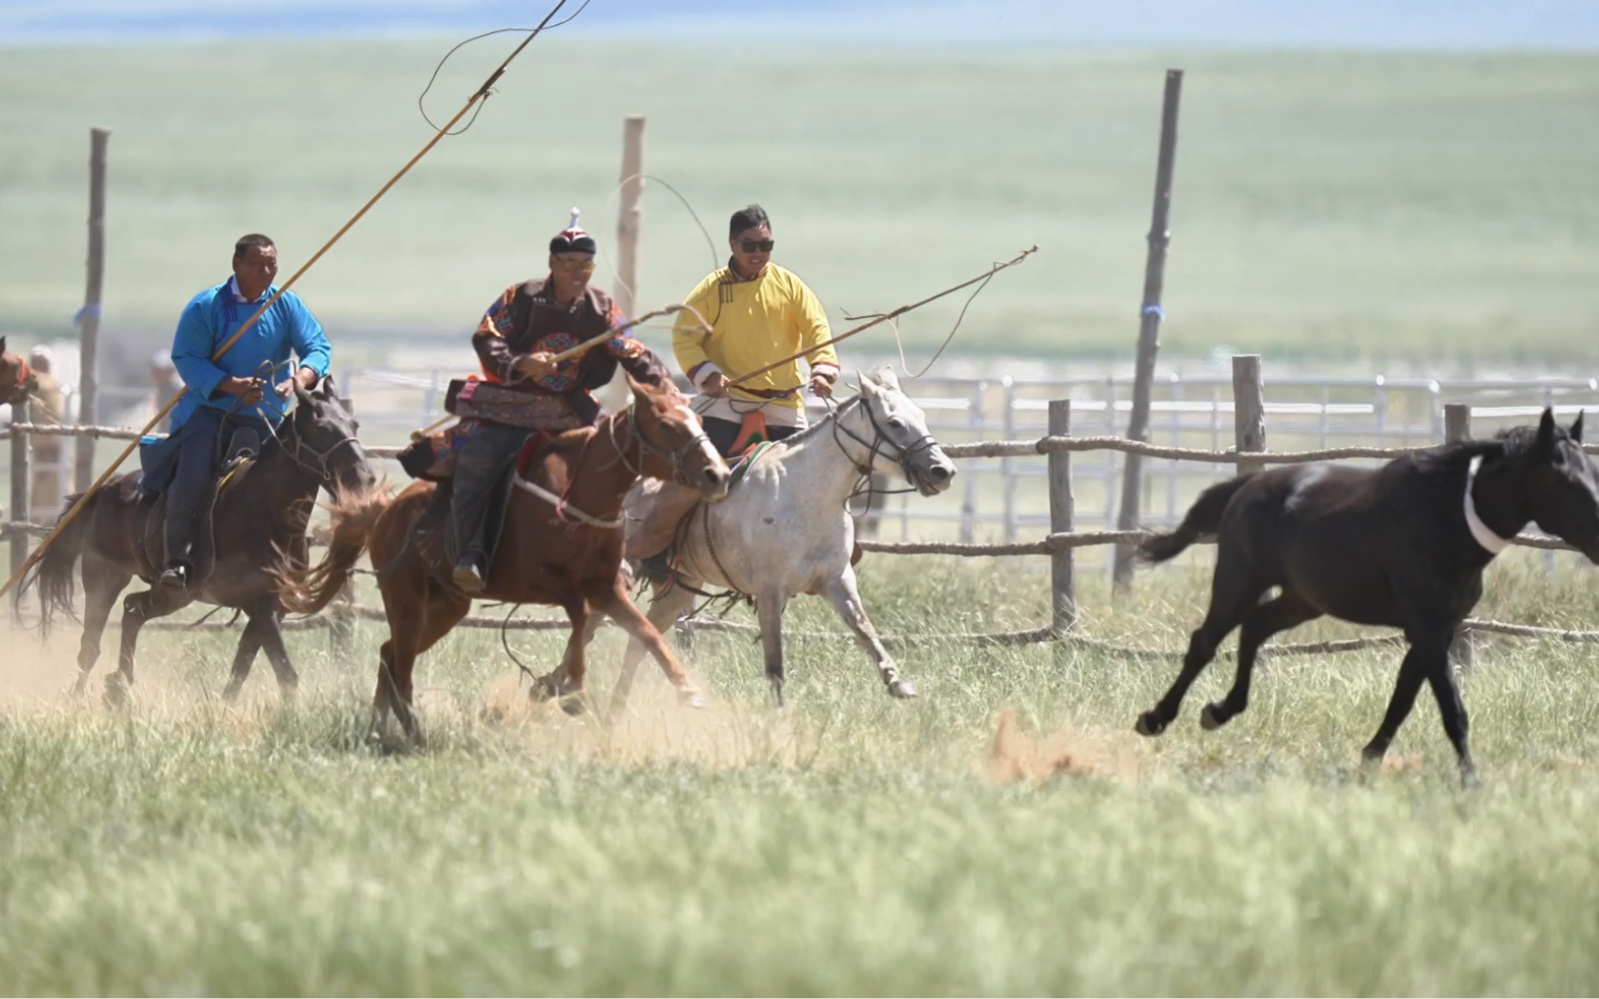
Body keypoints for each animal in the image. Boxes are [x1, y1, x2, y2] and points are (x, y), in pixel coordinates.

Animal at [17, 377, 374, 706]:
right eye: (322, 428)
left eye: (354, 424)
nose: (363, 477)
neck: (264, 509)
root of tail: (105, 488)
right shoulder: (259, 603)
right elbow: (285, 671)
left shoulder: (272, 607)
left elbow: (242, 666)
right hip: (103, 578)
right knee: (90, 644)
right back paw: (79, 698)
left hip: (175, 594)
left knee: (133, 611)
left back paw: (119, 686)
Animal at [284, 375, 732, 741]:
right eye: (667, 425)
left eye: (698, 420)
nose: (718, 475)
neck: (579, 496)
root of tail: (385, 511)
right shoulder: (541, 582)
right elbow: (581, 617)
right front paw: (570, 691)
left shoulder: (605, 587)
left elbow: (645, 632)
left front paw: (688, 690)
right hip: (406, 600)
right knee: (401, 663)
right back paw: (412, 731)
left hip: (445, 608)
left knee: (387, 654)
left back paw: (382, 728)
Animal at [607, 366, 959, 709]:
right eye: (894, 422)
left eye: (921, 415)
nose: (943, 471)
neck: (806, 495)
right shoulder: (769, 590)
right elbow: (774, 663)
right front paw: (779, 714)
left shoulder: (836, 578)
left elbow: (864, 628)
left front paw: (897, 681)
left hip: (677, 591)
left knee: (640, 642)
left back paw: (618, 708)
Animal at [1138, 409, 1599, 783]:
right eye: (1562, 478)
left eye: (1591, 471)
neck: (1447, 521)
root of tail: (1251, 483)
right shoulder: (1428, 631)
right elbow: (1452, 711)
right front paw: (1470, 781)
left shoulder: (1436, 631)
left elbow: (1403, 701)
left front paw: (1369, 760)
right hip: (1239, 582)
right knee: (1205, 641)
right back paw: (1155, 718)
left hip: (1303, 600)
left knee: (1254, 628)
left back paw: (1219, 710)